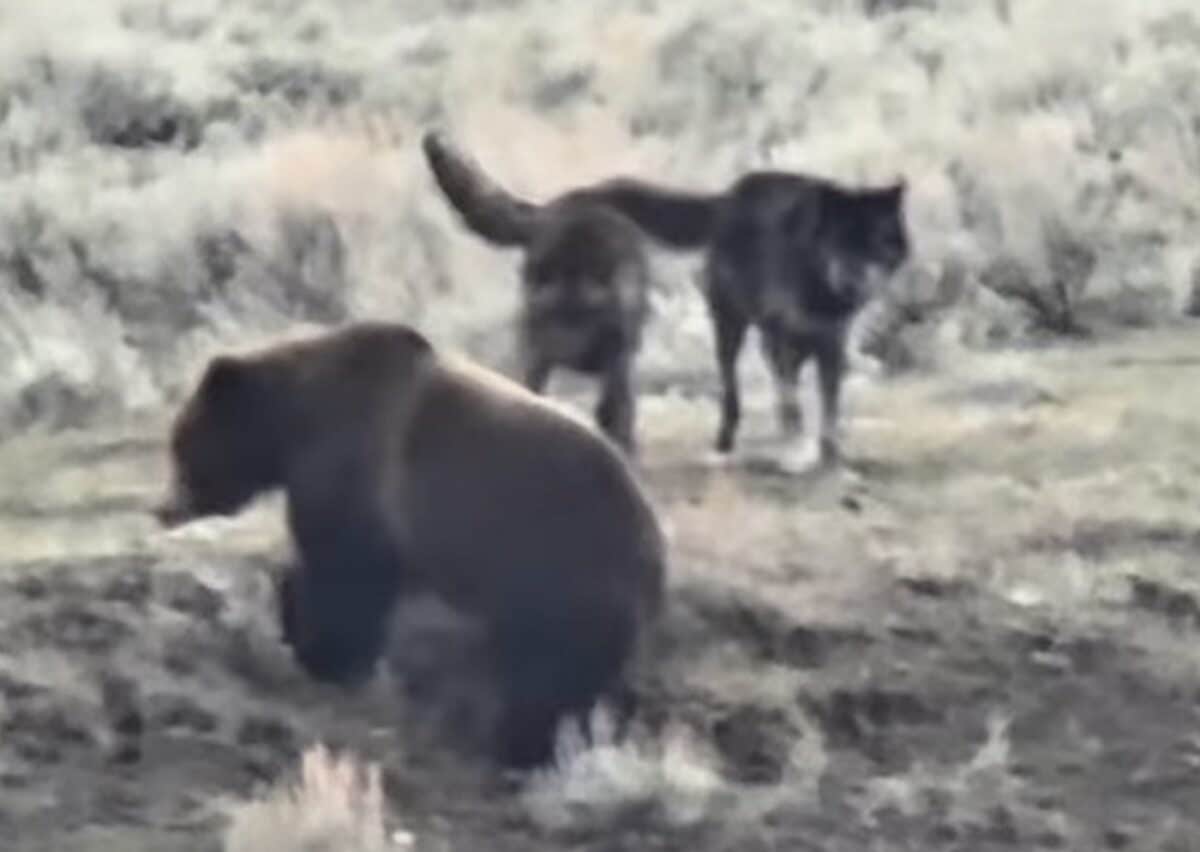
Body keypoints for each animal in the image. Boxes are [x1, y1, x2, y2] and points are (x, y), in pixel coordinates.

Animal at [154, 321, 667, 768]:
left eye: (180, 443)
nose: (163, 509)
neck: (295, 423)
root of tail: (652, 541)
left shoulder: (355, 468)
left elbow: (345, 574)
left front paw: (324, 655)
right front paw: (298, 630)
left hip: (560, 571)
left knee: (548, 677)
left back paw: (520, 748)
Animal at [421, 131, 651, 455]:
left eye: (581, 313)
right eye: (550, 308)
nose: (559, 344)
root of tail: (553, 212)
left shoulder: (617, 357)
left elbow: (616, 412)